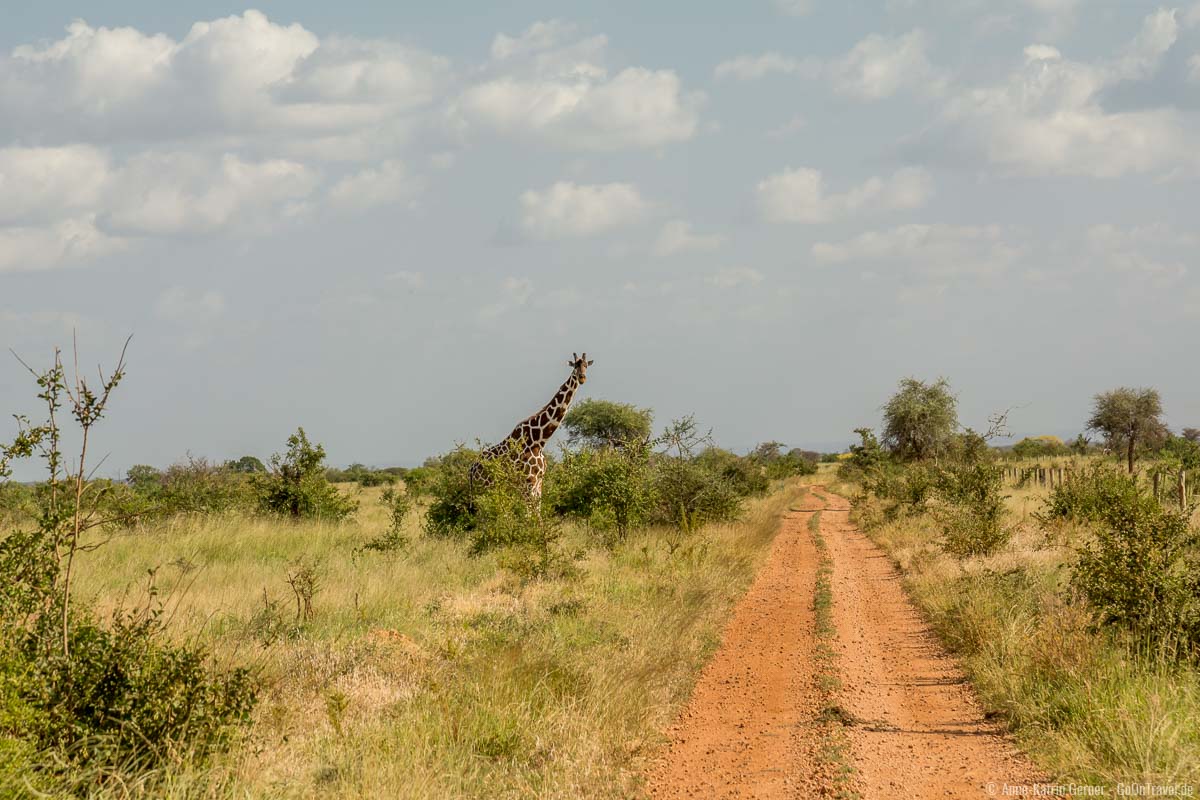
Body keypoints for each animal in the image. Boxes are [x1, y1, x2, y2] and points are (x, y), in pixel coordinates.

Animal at [472, 352, 595, 503]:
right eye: (575, 366)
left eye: (586, 365)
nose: (582, 377)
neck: (539, 441)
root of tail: (471, 469)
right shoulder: (528, 482)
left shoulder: (539, 483)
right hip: (485, 488)